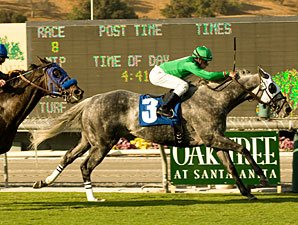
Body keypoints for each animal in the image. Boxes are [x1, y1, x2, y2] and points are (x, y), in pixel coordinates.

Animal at [30, 66, 292, 200]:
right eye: (272, 87)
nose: (287, 108)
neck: (215, 99)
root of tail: (92, 99)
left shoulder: (214, 141)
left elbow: (230, 166)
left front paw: (247, 192)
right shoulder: (212, 137)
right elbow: (243, 148)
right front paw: (262, 177)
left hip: (89, 140)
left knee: (67, 157)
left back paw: (44, 182)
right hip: (103, 143)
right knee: (85, 166)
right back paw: (92, 198)